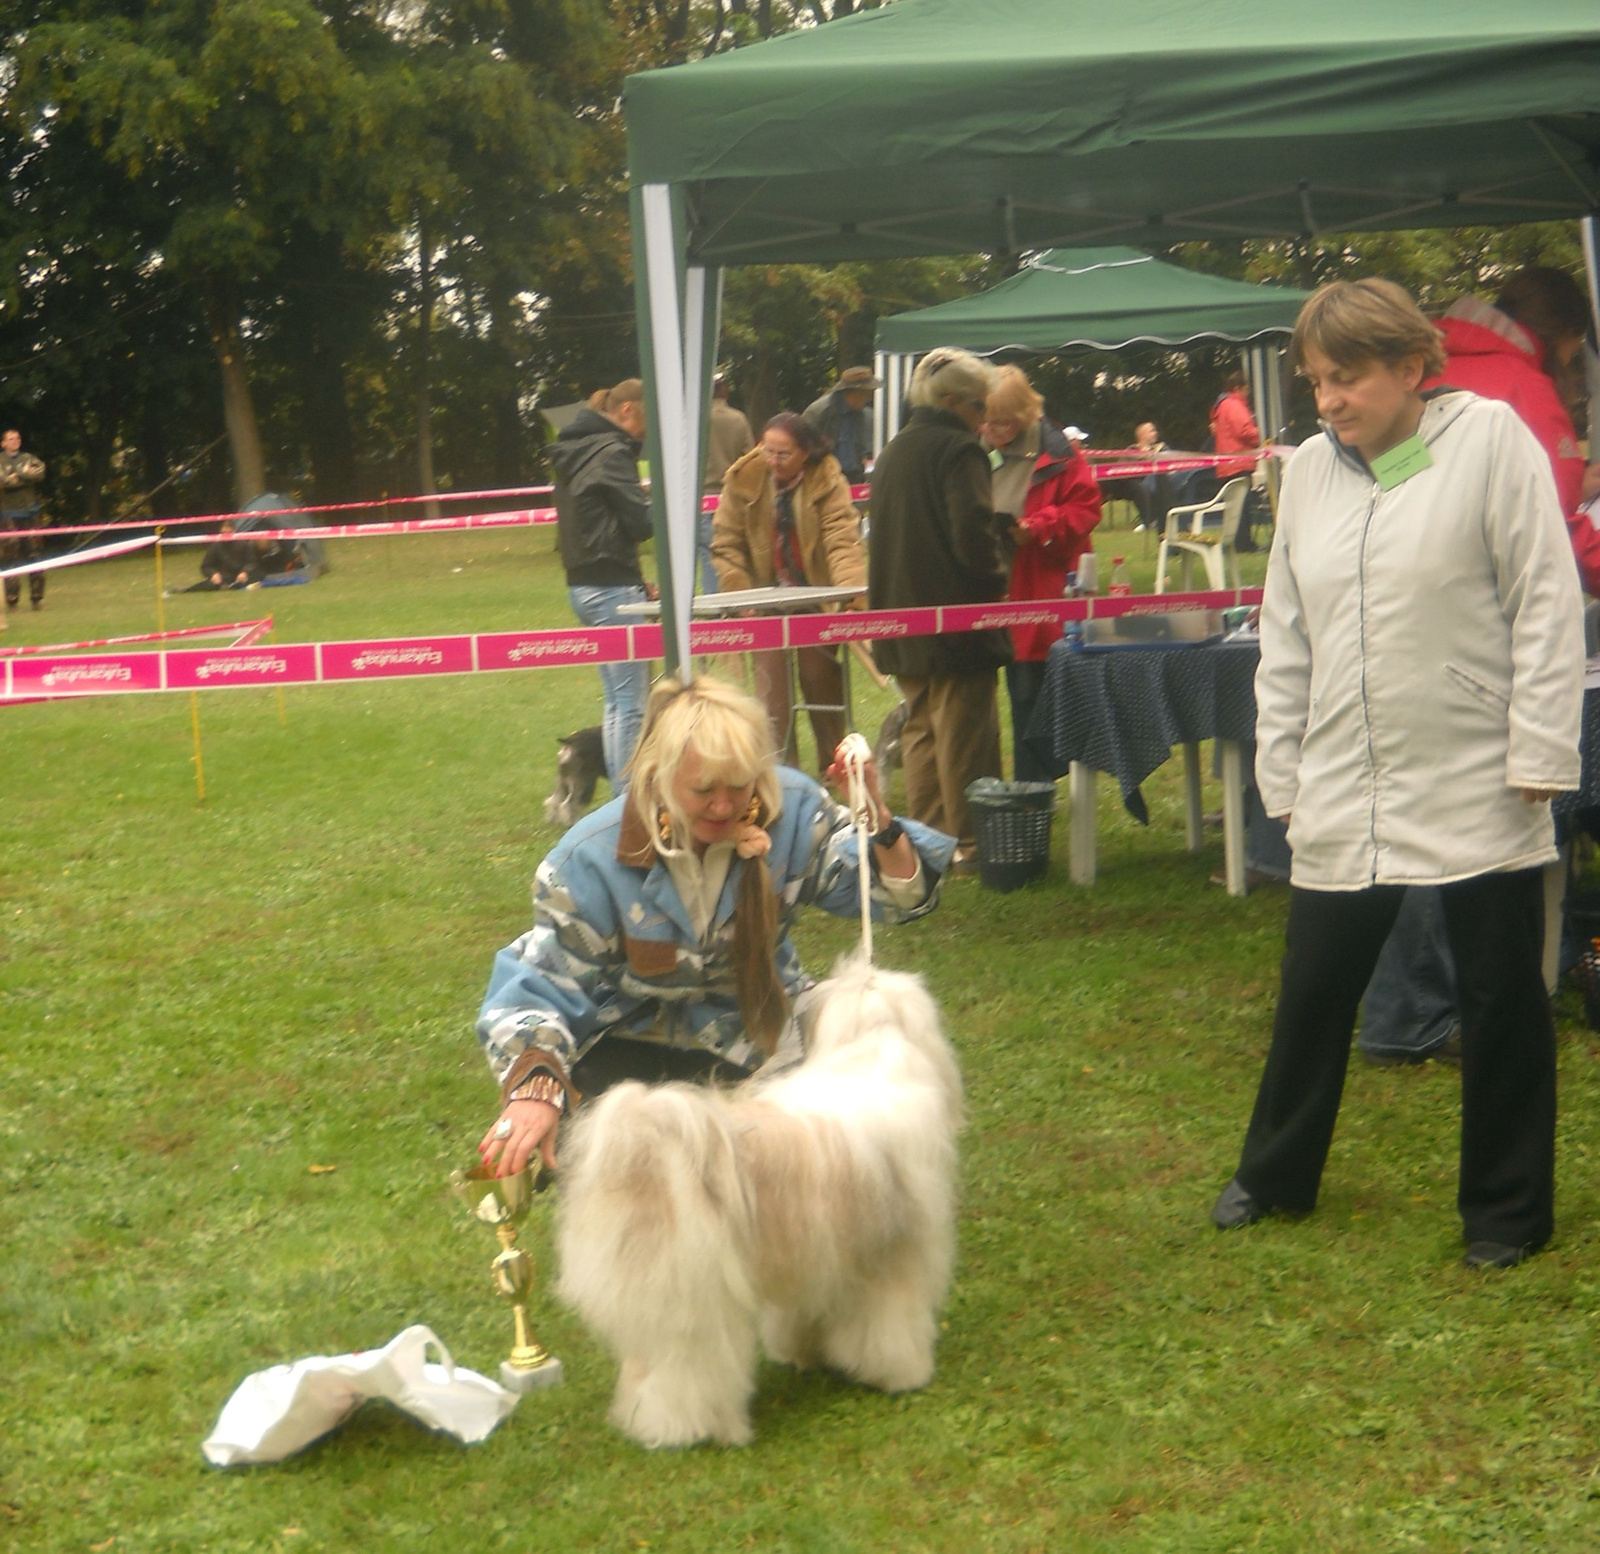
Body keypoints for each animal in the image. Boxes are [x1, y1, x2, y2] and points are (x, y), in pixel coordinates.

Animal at [556, 953, 960, 1453]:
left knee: (650, 1367)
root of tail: (646, 1155)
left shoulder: (818, 1260)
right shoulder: (892, 1255)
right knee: (690, 1376)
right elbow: (890, 1326)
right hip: (699, 1304)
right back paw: (704, 1430)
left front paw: (804, 1355)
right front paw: (903, 1375)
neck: (870, 1051)